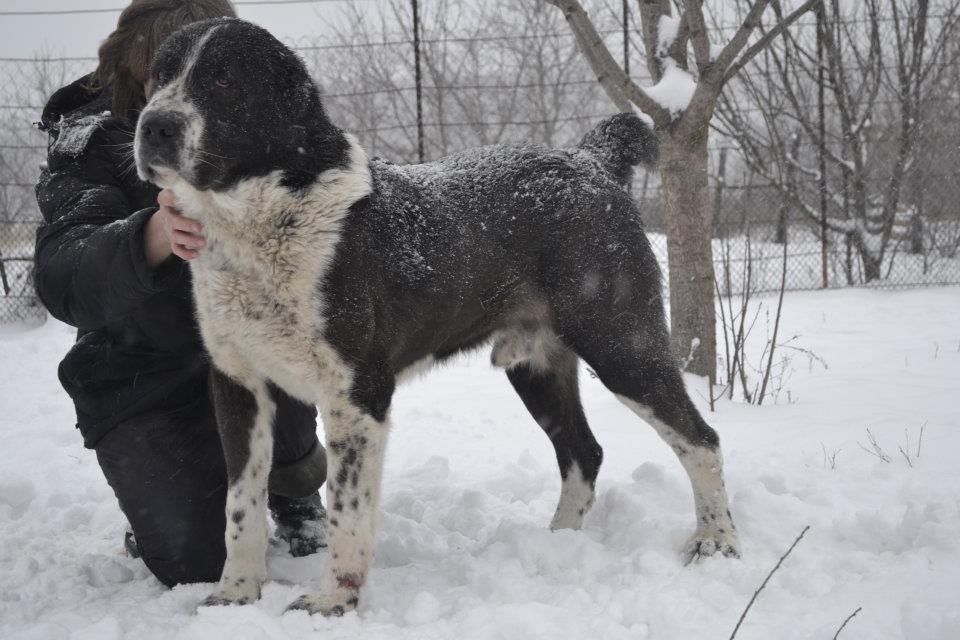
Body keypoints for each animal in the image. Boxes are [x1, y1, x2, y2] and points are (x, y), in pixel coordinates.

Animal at [131, 16, 740, 616]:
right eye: (159, 75)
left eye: (224, 81)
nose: (154, 127)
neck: (265, 217)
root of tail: (591, 162)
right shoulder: (239, 386)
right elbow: (241, 503)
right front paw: (236, 594)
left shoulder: (358, 394)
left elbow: (346, 506)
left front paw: (334, 599)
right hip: (536, 367)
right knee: (583, 452)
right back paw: (559, 543)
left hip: (621, 343)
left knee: (701, 438)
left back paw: (716, 541)